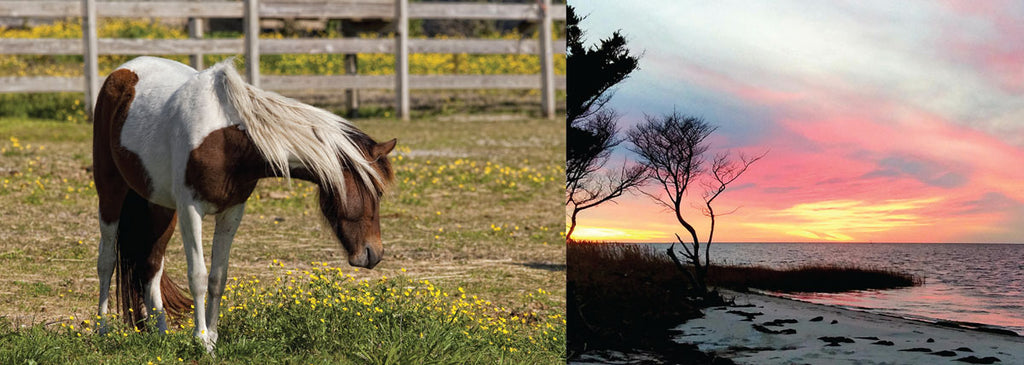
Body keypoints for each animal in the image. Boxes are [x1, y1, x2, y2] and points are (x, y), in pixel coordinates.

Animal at [93, 56, 395, 350]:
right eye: (377, 191)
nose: (374, 253)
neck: (226, 141)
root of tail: (123, 71)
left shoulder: (232, 211)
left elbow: (218, 277)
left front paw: (212, 338)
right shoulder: (191, 210)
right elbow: (198, 276)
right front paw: (200, 338)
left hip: (161, 206)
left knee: (152, 264)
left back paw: (161, 333)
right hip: (111, 193)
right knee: (107, 261)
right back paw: (102, 329)